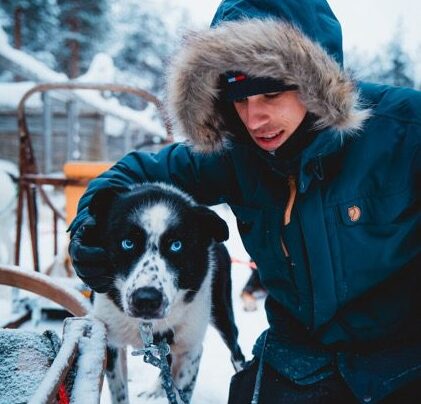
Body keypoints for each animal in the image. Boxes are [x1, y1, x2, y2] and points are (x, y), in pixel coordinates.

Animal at [90, 184, 244, 404]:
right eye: (127, 243)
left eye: (176, 245)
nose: (146, 300)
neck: (146, 327)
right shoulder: (111, 343)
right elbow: (120, 393)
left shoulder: (190, 350)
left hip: (222, 314)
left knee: (236, 352)